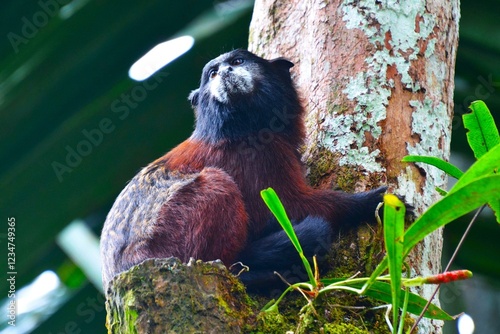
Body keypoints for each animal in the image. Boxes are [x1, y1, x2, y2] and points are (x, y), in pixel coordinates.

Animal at [100, 49, 386, 292]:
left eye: (236, 62)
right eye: (213, 74)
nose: (225, 71)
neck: (240, 127)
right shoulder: (261, 155)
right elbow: (290, 207)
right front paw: (367, 202)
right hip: (169, 239)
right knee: (217, 185)